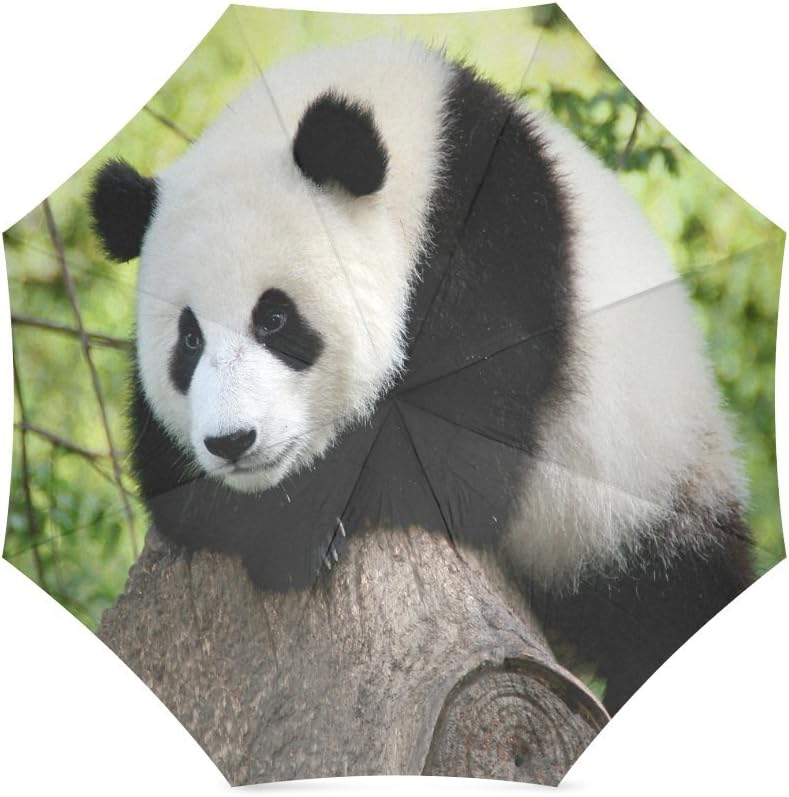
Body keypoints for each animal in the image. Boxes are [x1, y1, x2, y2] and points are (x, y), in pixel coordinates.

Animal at [89, 39, 754, 714]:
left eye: (274, 318)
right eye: (189, 340)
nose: (232, 442)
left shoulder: (500, 254)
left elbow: (465, 457)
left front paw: (301, 521)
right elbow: (167, 475)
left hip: (650, 482)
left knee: (667, 604)